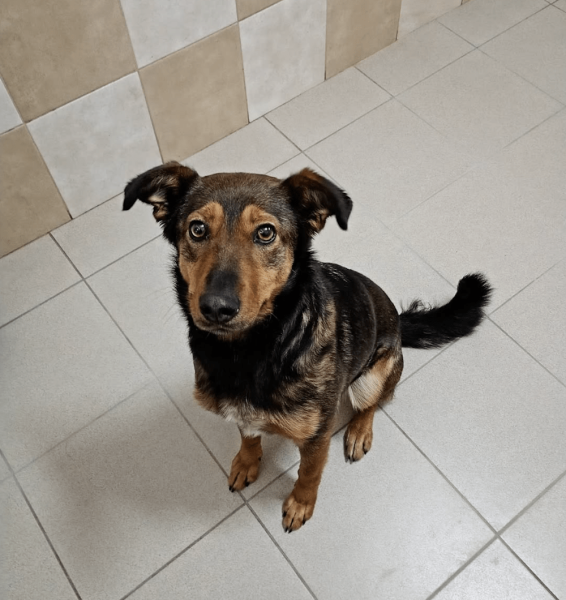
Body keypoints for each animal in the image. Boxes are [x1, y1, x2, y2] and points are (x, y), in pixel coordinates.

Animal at [123, 162, 491, 532]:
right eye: (197, 229)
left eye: (266, 233)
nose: (216, 308)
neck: (252, 349)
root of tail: (400, 324)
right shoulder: (241, 411)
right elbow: (247, 435)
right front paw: (247, 462)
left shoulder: (317, 436)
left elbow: (309, 473)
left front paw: (300, 504)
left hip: (373, 374)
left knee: (372, 403)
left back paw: (359, 432)